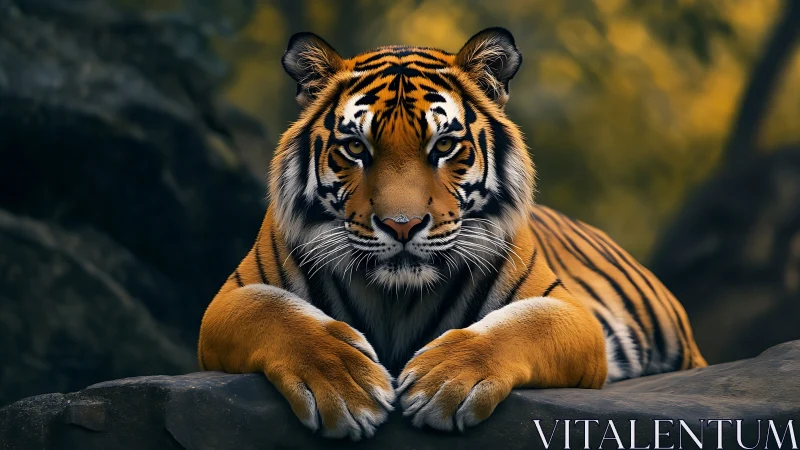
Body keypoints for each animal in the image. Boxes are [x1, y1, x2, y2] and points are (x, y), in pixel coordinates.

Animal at [198, 27, 706, 440]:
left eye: (443, 145)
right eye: (356, 148)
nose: (401, 225)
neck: (396, 299)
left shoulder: (568, 311)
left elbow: (521, 325)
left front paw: (443, 380)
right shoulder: (228, 300)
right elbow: (273, 312)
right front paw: (346, 383)